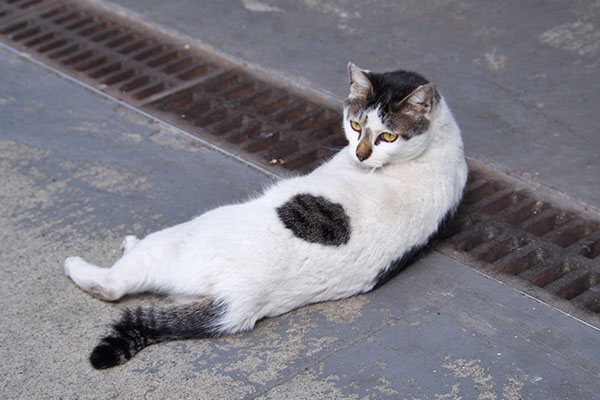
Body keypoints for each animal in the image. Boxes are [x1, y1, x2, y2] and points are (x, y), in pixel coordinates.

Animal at [64, 62, 468, 368]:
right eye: (355, 126)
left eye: (388, 136)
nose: (361, 154)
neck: (436, 144)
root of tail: (242, 298)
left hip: (180, 238)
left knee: (113, 285)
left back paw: (87, 264)